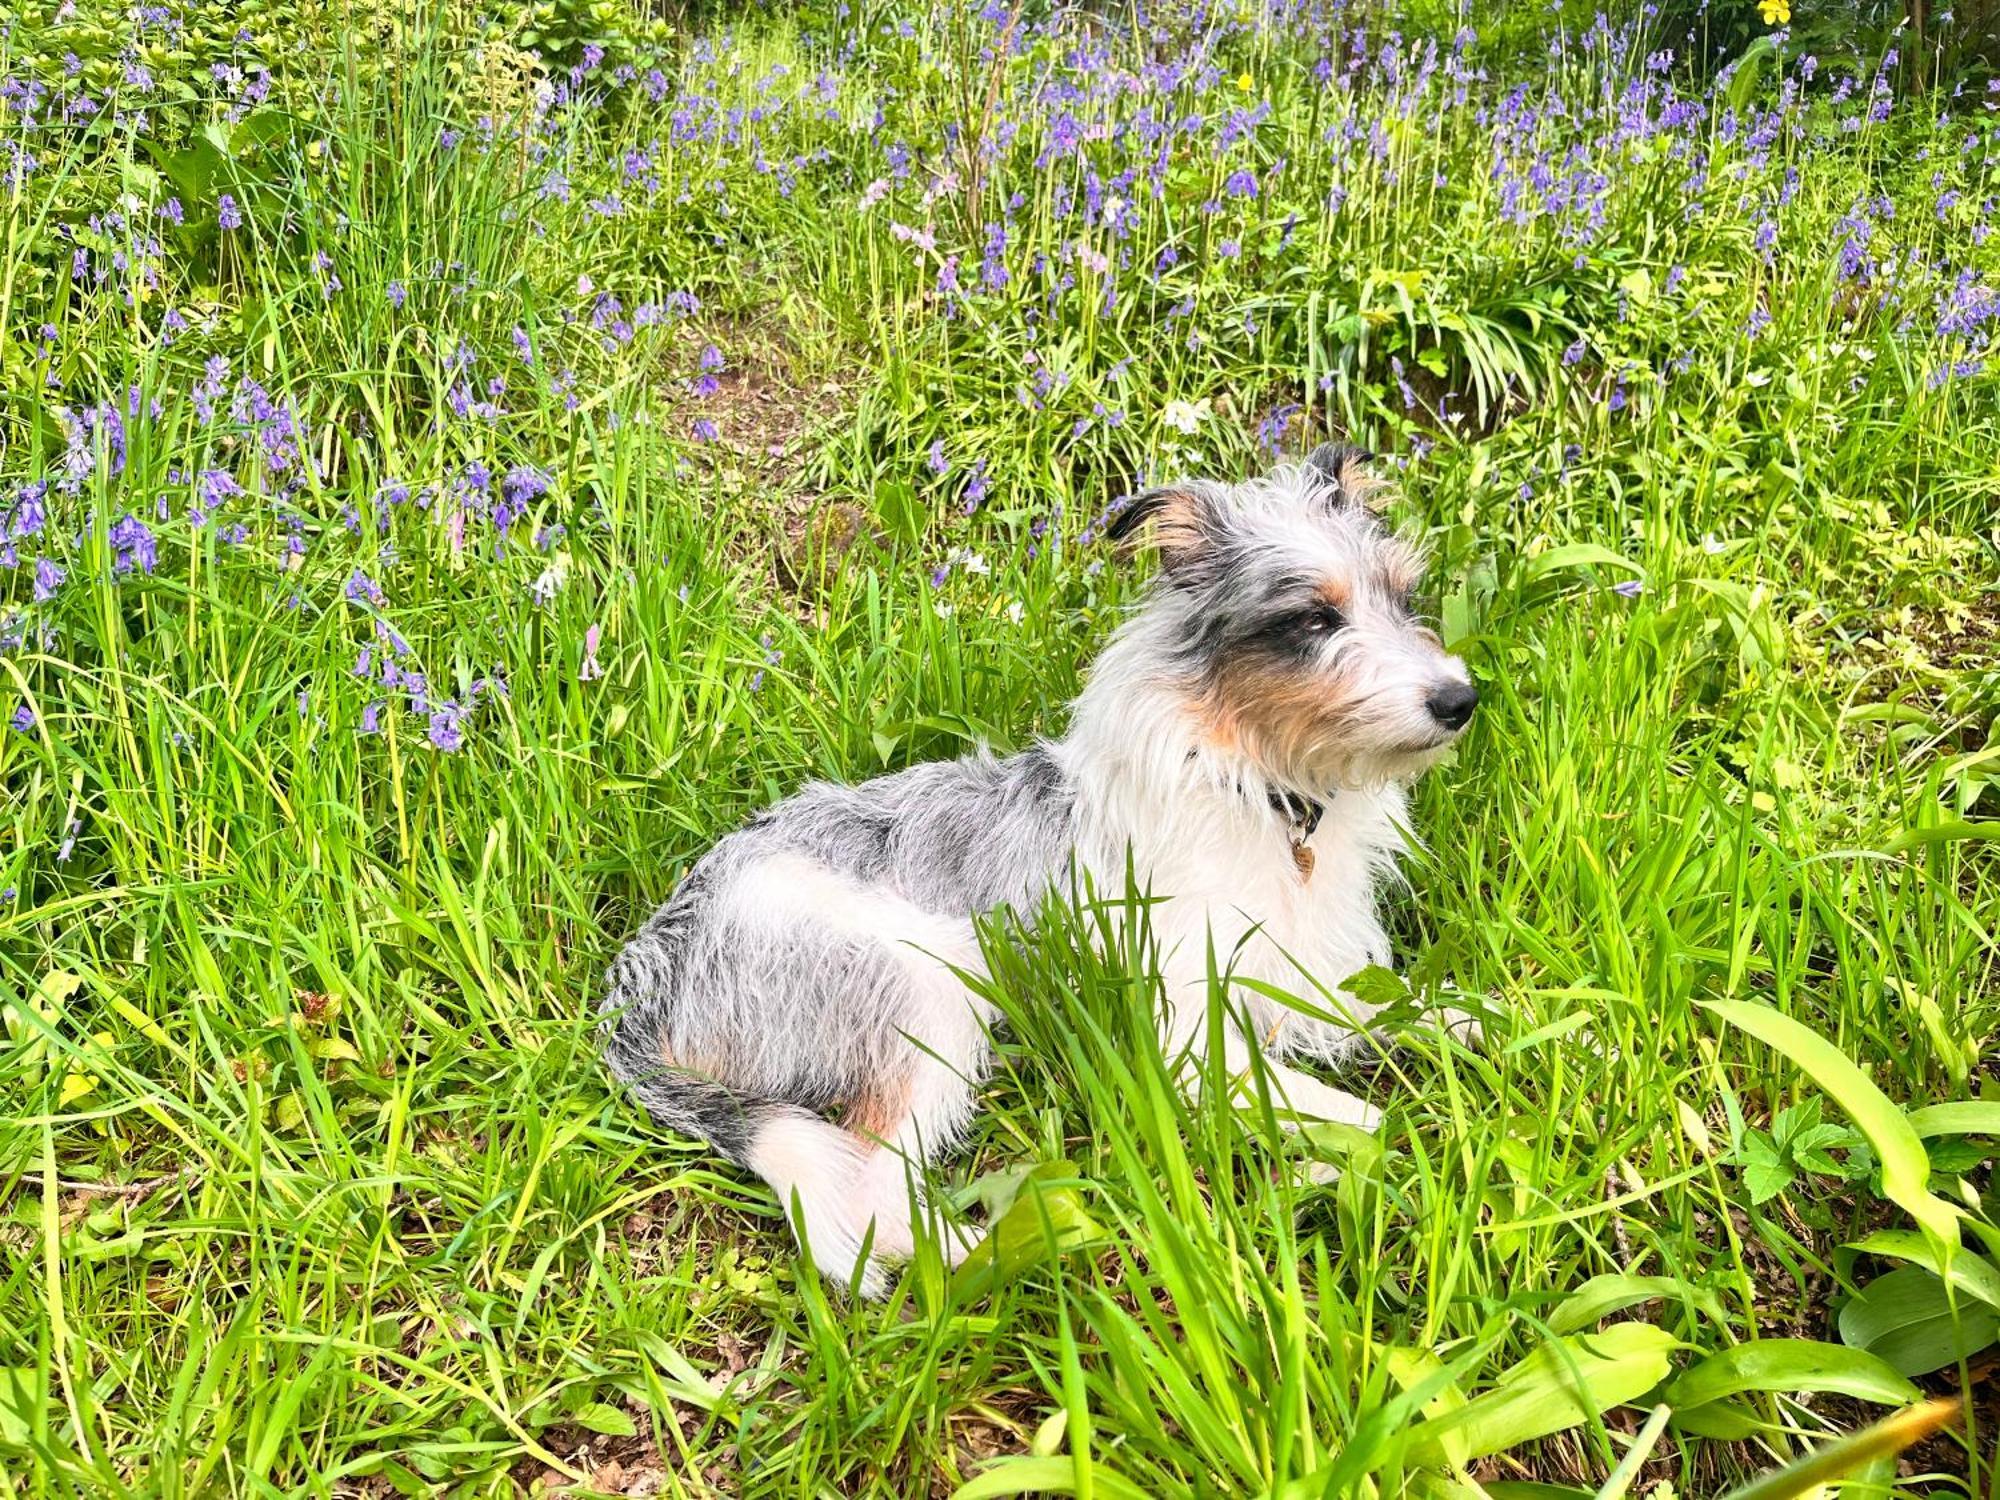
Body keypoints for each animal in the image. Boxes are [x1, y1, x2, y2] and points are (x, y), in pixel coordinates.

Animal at [600, 440, 1480, 1296]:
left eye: (1407, 599)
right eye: (1313, 617)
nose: (1461, 700)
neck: (1263, 790)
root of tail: (643, 976)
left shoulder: (1314, 979)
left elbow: (1419, 1006)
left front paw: (1493, 1030)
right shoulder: (1186, 1038)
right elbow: (1332, 1108)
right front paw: (1387, 1135)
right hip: (926, 991)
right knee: (875, 1187)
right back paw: (987, 1256)